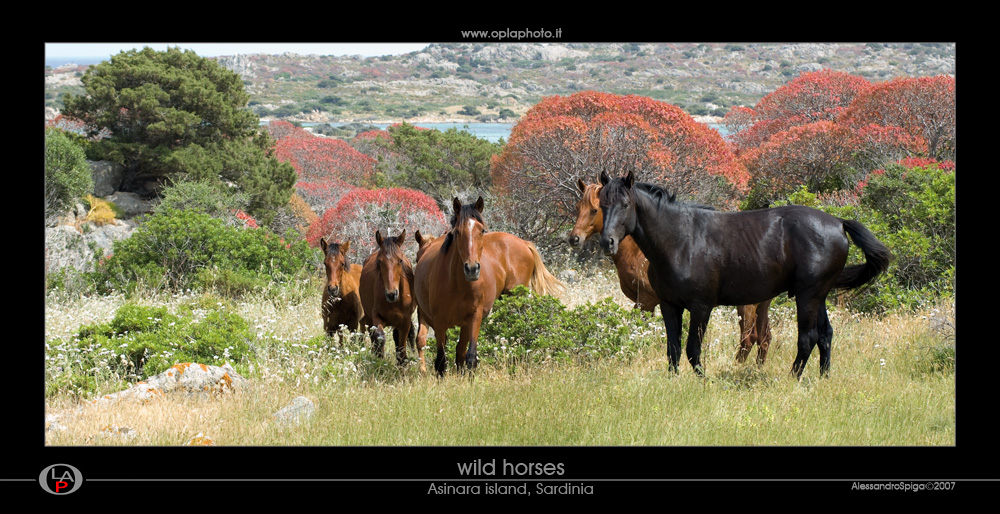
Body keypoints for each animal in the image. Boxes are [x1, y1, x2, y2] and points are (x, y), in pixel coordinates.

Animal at [360, 228, 414, 364]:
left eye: (400, 260)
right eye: (379, 262)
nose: (391, 294)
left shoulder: (405, 322)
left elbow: (401, 347)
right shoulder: (376, 316)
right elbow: (379, 337)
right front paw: (378, 358)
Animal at [410, 196, 560, 372]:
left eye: (481, 230)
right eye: (457, 232)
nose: (472, 269)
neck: (457, 284)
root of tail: (524, 243)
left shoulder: (475, 317)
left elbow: (470, 357)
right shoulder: (440, 322)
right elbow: (441, 360)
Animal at [572, 178, 772, 366]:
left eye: (595, 209)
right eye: (578, 207)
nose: (574, 238)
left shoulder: (645, 302)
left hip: (747, 306)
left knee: (748, 338)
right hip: (762, 304)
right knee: (764, 338)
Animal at [596, 170, 896, 374]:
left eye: (625, 205)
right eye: (601, 205)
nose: (607, 242)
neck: (681, 239)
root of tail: (838, 223)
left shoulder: (701, 307)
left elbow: (693, 349)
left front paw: (703, 381)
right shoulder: (670, 306)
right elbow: (673, 350)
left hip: (808, 296)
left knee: (807, 338)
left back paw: (793, 379)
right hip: (818, 295)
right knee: (825, 336)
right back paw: (822, 378)